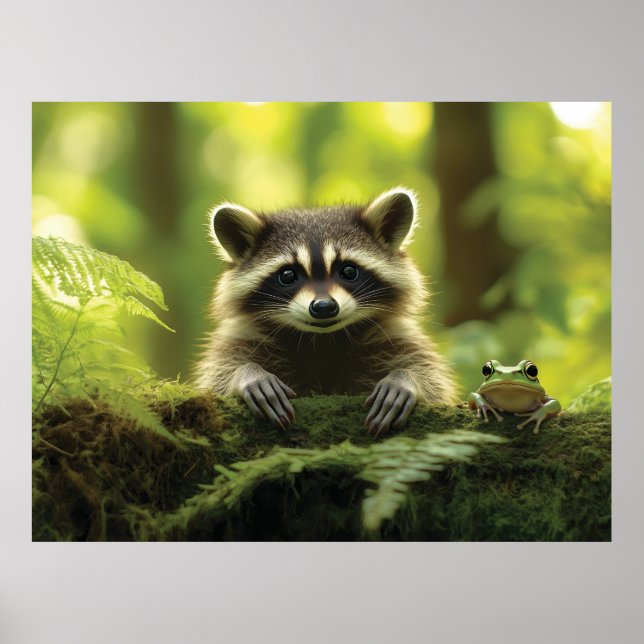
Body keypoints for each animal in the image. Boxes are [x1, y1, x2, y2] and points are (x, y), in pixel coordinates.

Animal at [196, 187, 457, 435]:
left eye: (349, 271)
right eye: (288, 275)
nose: (324, 307)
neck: (321, 340)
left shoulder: (392, 334)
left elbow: (431, 380)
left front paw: (406, 379)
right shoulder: (245, 336)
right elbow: (217, 378)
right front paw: (248, 374)